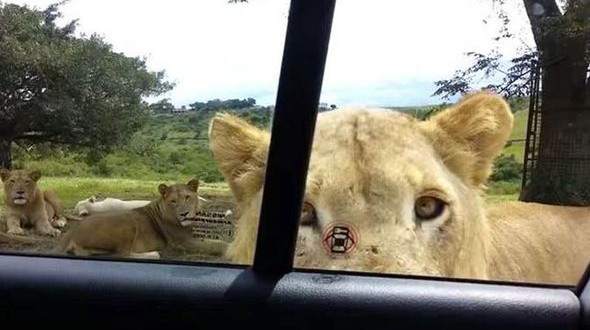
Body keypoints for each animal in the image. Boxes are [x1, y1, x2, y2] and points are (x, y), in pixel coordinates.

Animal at [54, 179, 228, 260]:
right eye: (173, 201)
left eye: (187, 197)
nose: (184, 214)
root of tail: (71, 232)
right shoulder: (185, 242)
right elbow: (218, 245)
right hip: (127, 224)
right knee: (122, 253)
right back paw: (154, 254)